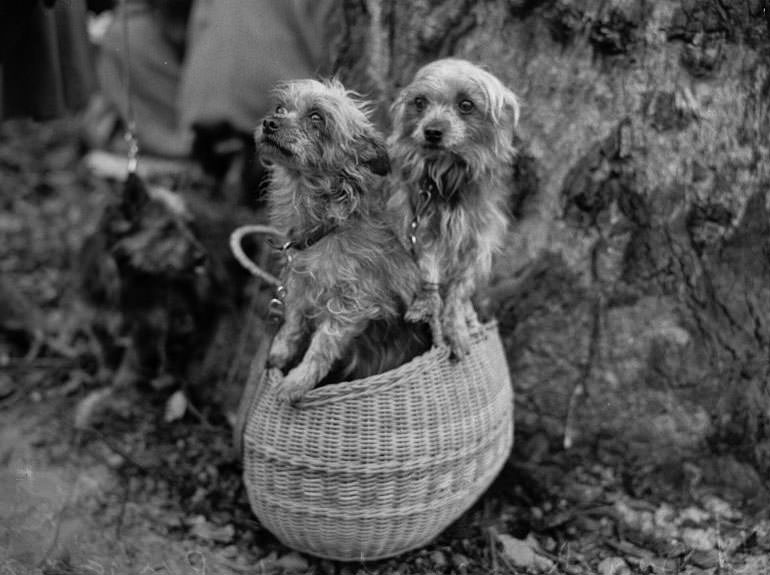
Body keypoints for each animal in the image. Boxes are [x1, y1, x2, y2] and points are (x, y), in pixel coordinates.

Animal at [256, 79, 426, 402]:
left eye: (316, 118)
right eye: (280, 108)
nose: (269, 122)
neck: (327, 224)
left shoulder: (351, 305)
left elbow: (322, 347)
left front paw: (296, 383)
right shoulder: (299, 282)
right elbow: (293, 321)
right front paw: (279, 353)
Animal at [388, 57, 520, 356]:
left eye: (466, 104)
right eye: (420, 102)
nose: (432, 132)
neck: (445, 177)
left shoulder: (477, 243)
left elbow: (459, 292)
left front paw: (457, 329)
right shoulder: (420, 233)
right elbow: (430, 277)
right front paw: (432, 315)